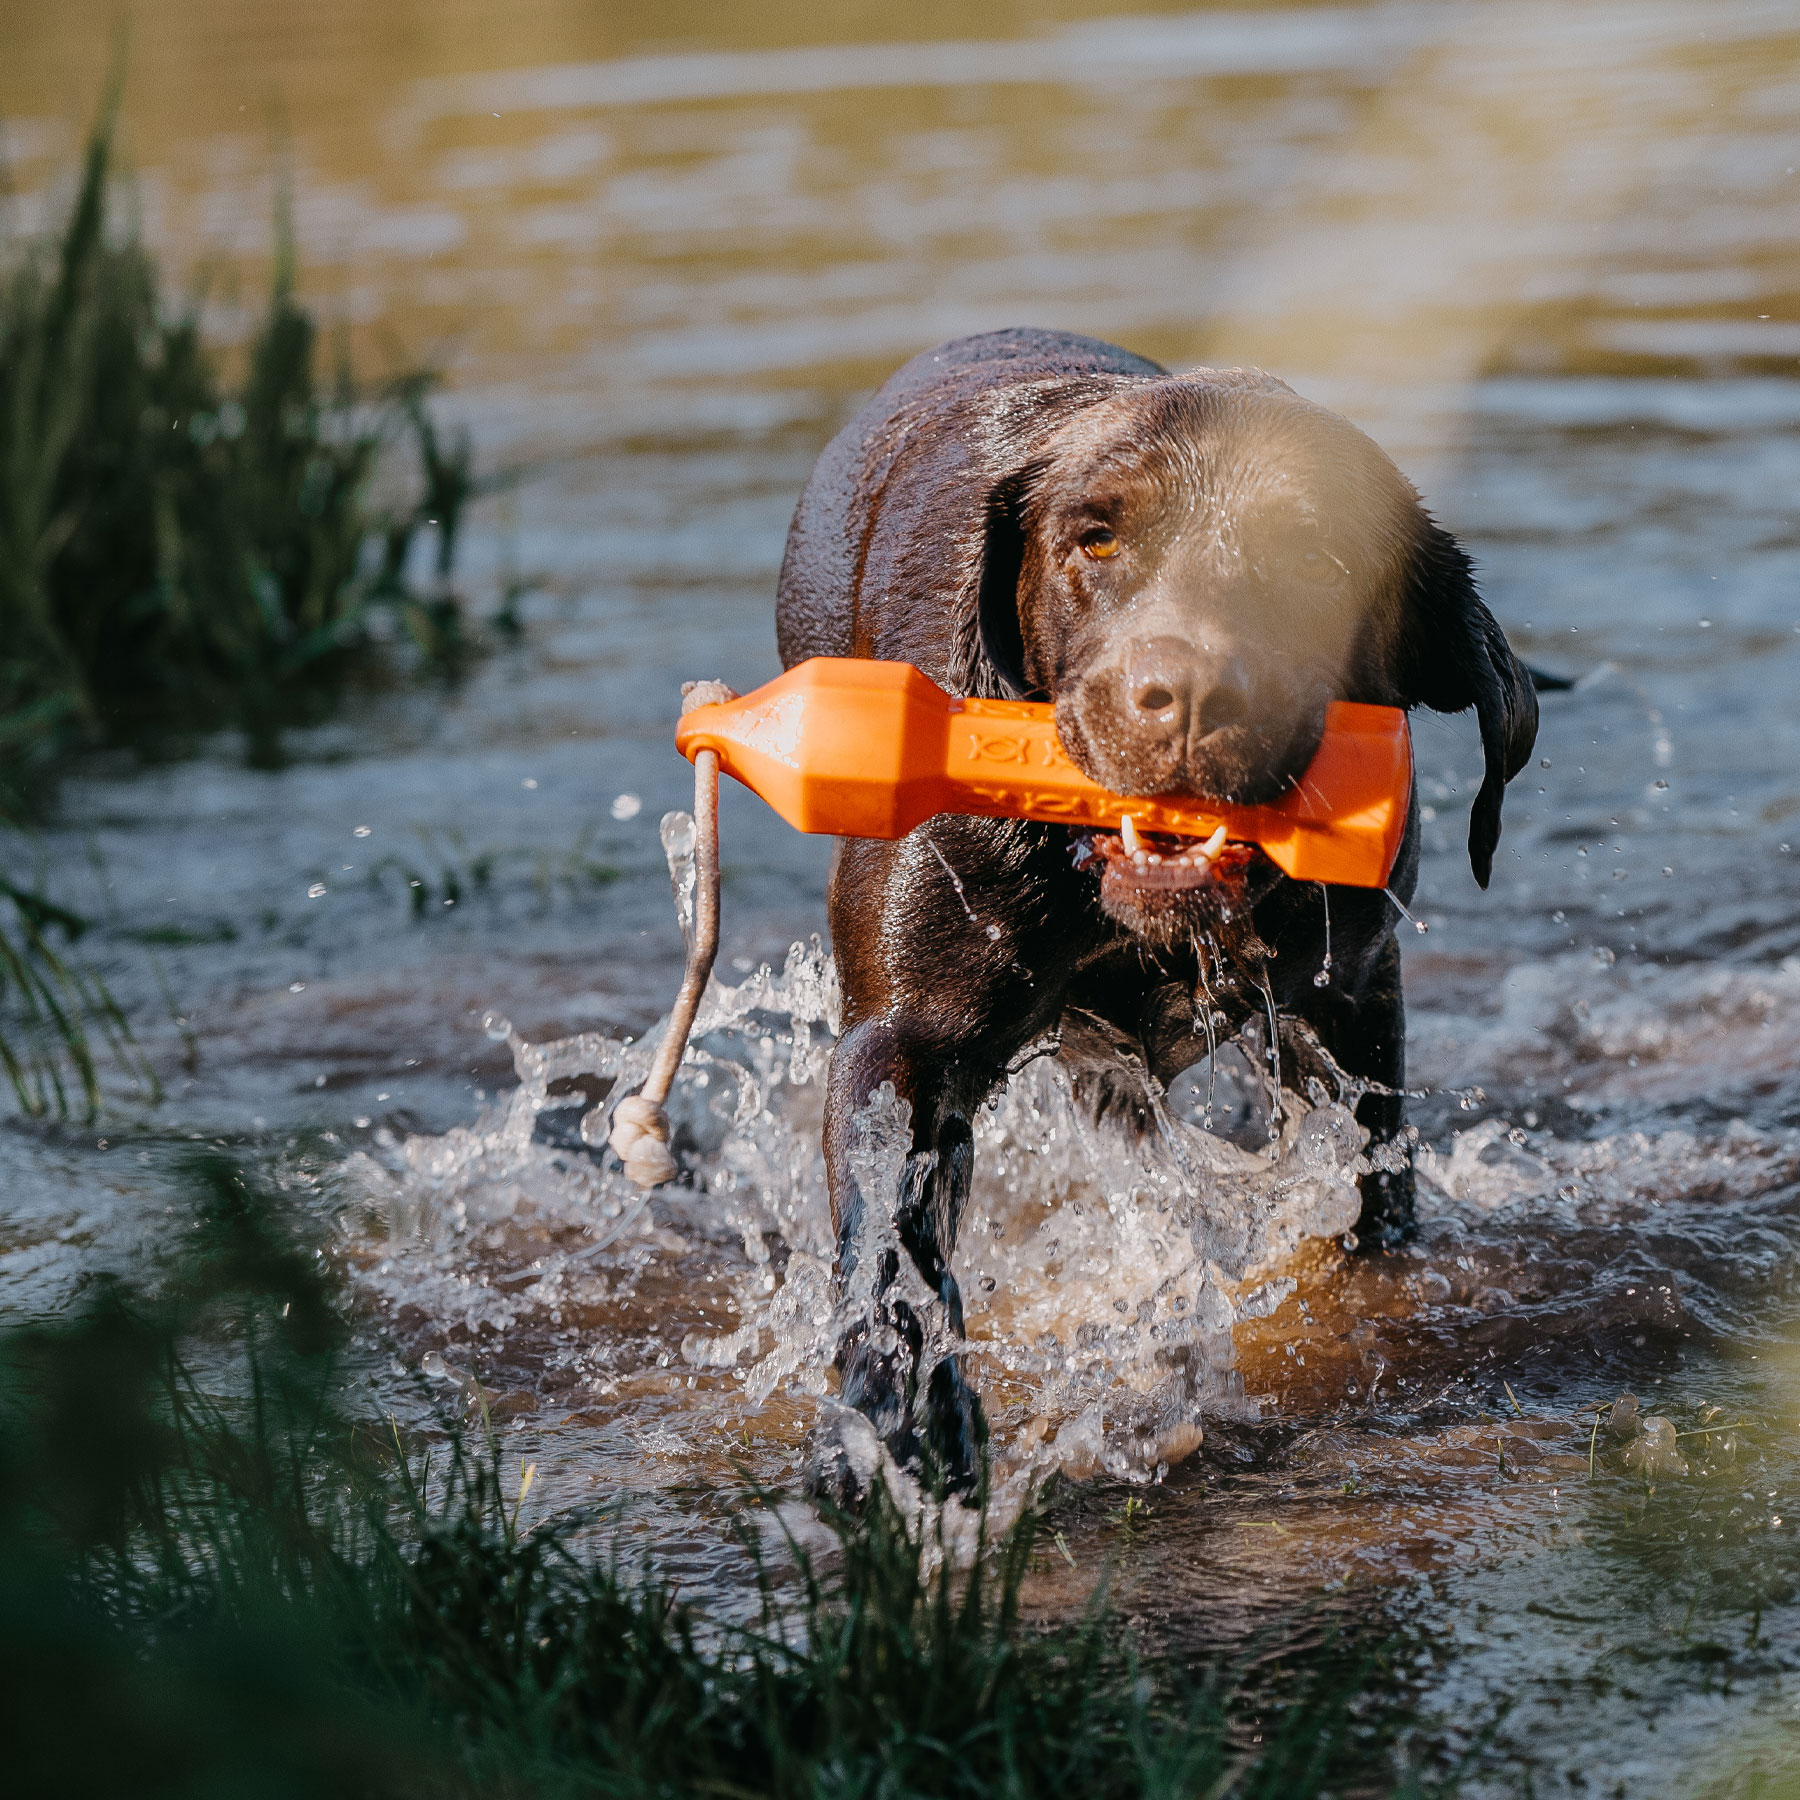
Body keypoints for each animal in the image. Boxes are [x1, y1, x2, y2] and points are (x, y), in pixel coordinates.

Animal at [777, 327, 1548, 1490]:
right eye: (1096, 541)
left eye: (1318, 561)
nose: (1187, 696)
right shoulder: (904, 1032)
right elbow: (891, 1239)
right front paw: (895, 1422)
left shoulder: (1348, 1002)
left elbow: (1371, 1186)